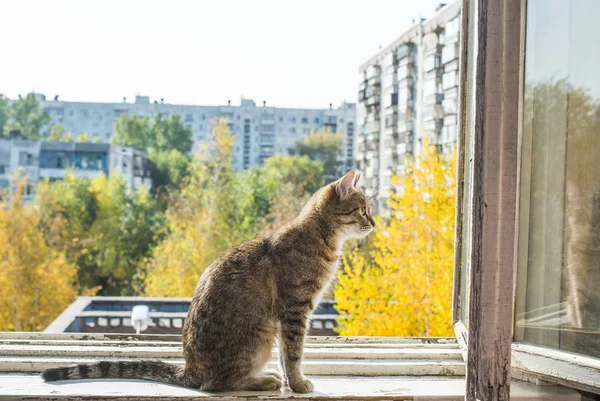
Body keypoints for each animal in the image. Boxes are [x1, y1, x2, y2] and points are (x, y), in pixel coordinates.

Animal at [41, 170, 376, 392]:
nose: (373, 222)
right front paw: (296, 383)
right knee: (217, 385)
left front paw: (292, 381)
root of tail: (191, 370)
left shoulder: (292, 314)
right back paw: (261, 381)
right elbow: (293, 354)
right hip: (258, 337)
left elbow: (287, 355)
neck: (321, 237)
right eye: (363, 209)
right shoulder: (295, 311)